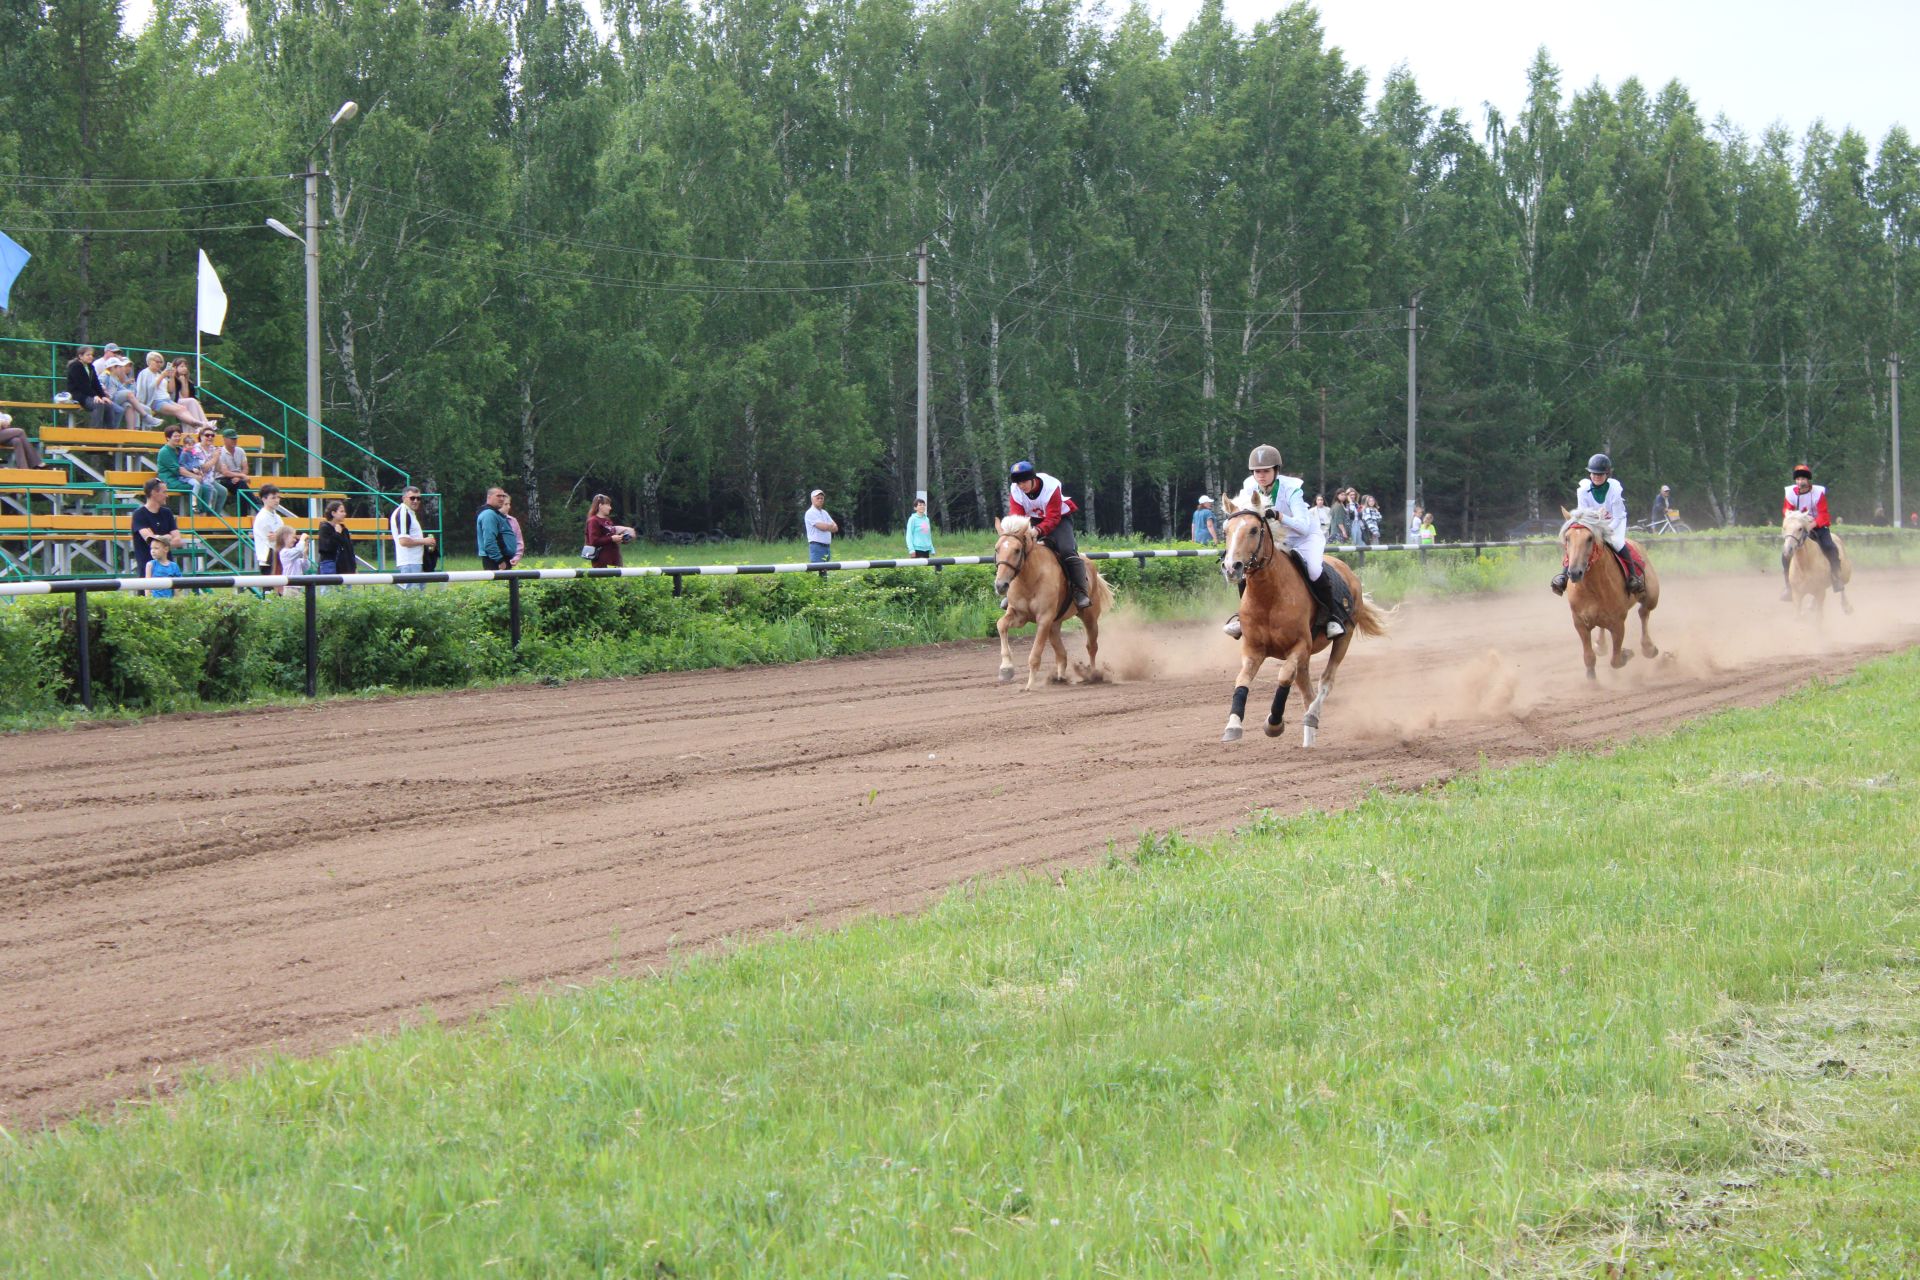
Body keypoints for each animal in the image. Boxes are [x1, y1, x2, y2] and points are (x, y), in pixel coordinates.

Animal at [990, 514, 1113, 690]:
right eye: (997, 549)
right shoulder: (1019, 615)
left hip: (1089, 617)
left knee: (1091, 647)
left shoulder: (1044, 619)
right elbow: (1001, 625)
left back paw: (1093, 674)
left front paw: (1029, 685)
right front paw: (1006, 668)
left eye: (1017, 550)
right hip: (1054, 625)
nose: (1001, 585)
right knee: (1062, 654)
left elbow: (1035, 654)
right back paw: (1059, 678)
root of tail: (1089, 564)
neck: (1030, 578)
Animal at [1221, 495, 1390, 752]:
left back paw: (1312, 716)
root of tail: (1347, 570)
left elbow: (1283, 677)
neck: (1269, 597)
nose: (1232, 567)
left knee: (1325, 682)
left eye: (1253, 530)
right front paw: (1233, 725)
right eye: (1225, 531)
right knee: (1306, 691)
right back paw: (1309, 740)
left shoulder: (1299, 647)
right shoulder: (1253, 649)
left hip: (1343, 639)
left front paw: (1274, 724)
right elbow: (1242, 681)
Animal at [1551, 506, 1658, 679]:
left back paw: (1648, 647)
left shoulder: (1618, 623)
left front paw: (1626, 653)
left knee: (1644, 612)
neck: (1592, 588)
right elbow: (1589, 657)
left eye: (1590, 538)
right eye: (1567, 538)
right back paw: (1601, 645)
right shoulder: (1579, 622)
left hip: (1652, 597)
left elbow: (1616, 660)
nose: (1574, 573)